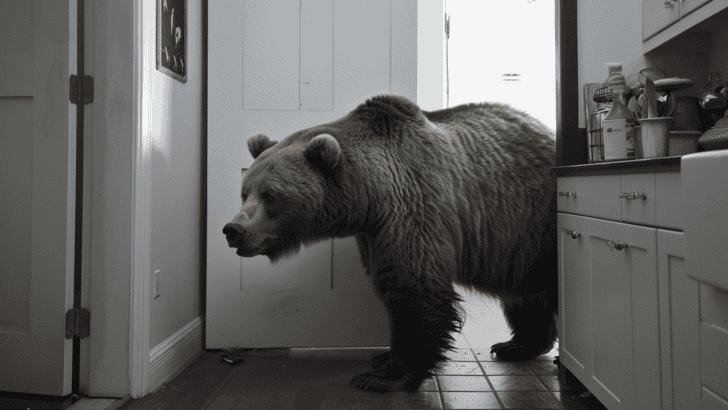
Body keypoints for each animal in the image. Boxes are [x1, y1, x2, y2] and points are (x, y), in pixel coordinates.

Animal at [222, 95, 557, 393]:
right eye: (245, 192)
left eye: (270, 194)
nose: (233, 229)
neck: (368, 195)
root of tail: (545, 129)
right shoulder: (372, 233)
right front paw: (382, 359)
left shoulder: (410, 208)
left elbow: (411, 287)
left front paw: (384, 377)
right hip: (520, 244)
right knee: (525, 293)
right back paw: (517, 345)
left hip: (534, 219)